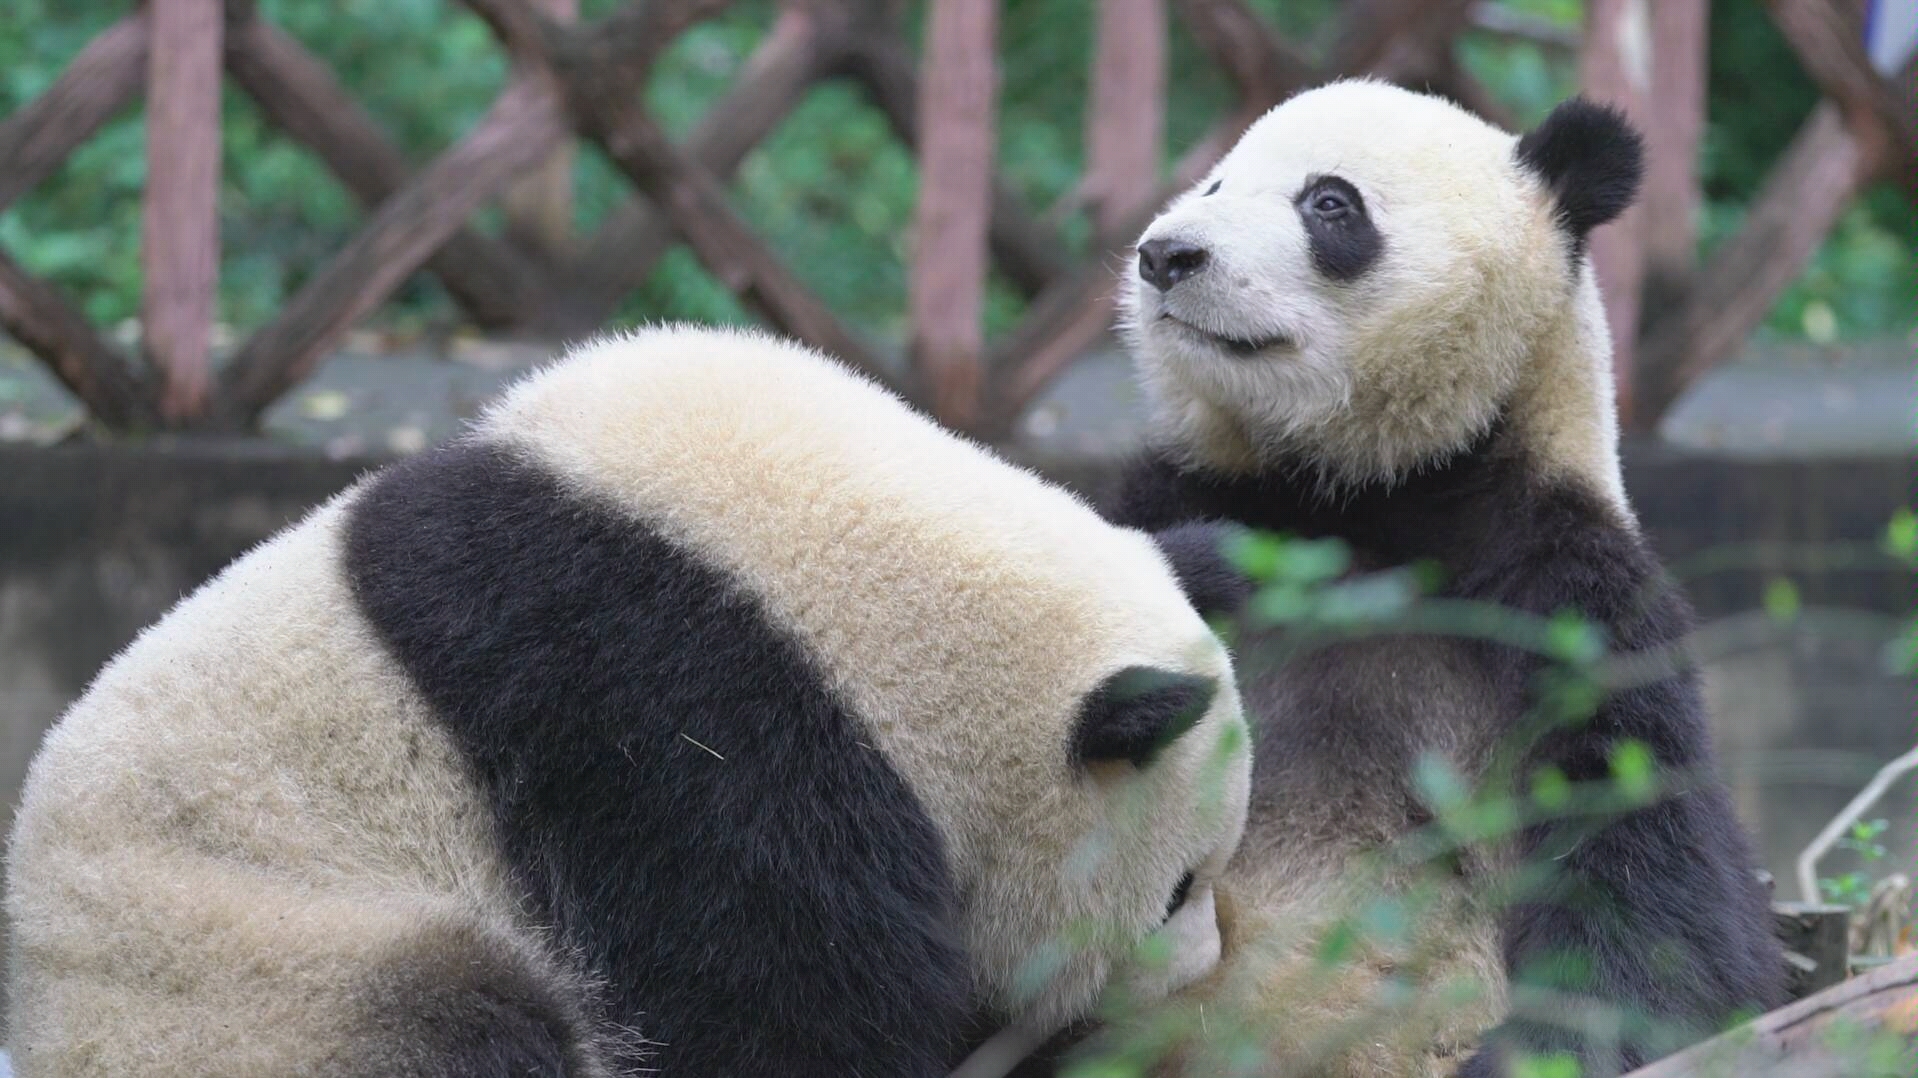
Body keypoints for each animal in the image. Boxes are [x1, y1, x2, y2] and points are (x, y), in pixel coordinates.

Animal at [3, 326, 1258, 1074]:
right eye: (1173, 889)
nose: (1197, 974)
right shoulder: (668, 709)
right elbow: (771, 993)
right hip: (241, 965)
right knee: (458, 1021)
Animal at [1074, 79, 1787, 1066]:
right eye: (1214, 183)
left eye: (1329, 203)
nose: (1166, 255)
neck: (1357, 491)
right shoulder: (1174, 500)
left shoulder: (1563, 599)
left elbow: (1654, 880)